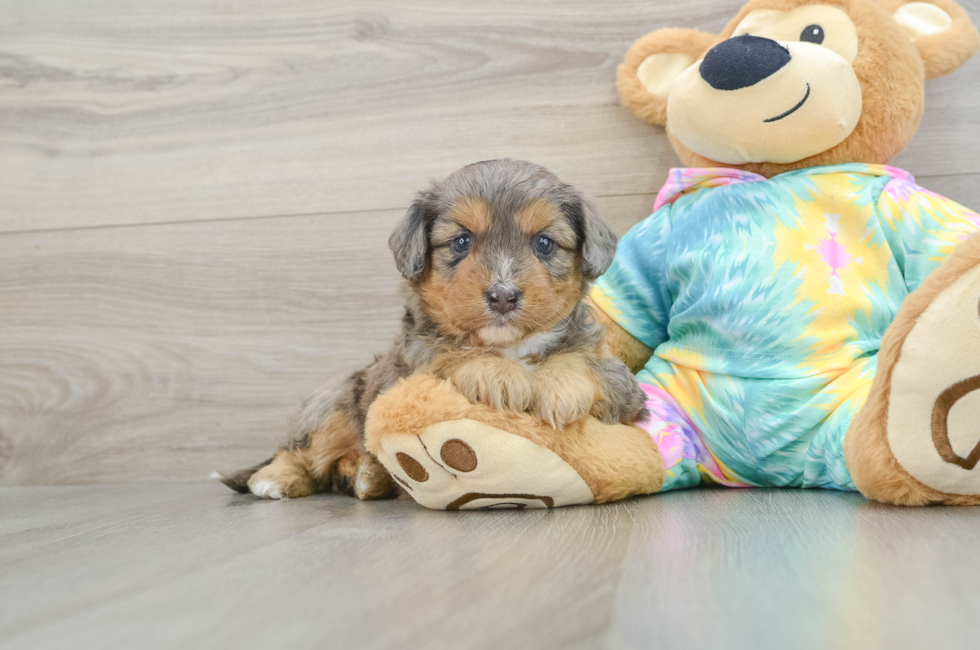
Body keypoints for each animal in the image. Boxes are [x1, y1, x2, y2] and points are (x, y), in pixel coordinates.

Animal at [225, 159, 648, 498]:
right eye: (461, 241)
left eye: (544, 243)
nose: (503, 295)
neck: (511, 347)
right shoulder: (408, 368)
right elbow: (448, 351)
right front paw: (495, 373)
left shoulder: (624, 386)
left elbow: (586, 363)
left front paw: (561, 387)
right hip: (334, 407)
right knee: (299, 452)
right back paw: (279, 478)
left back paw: (366, 476)